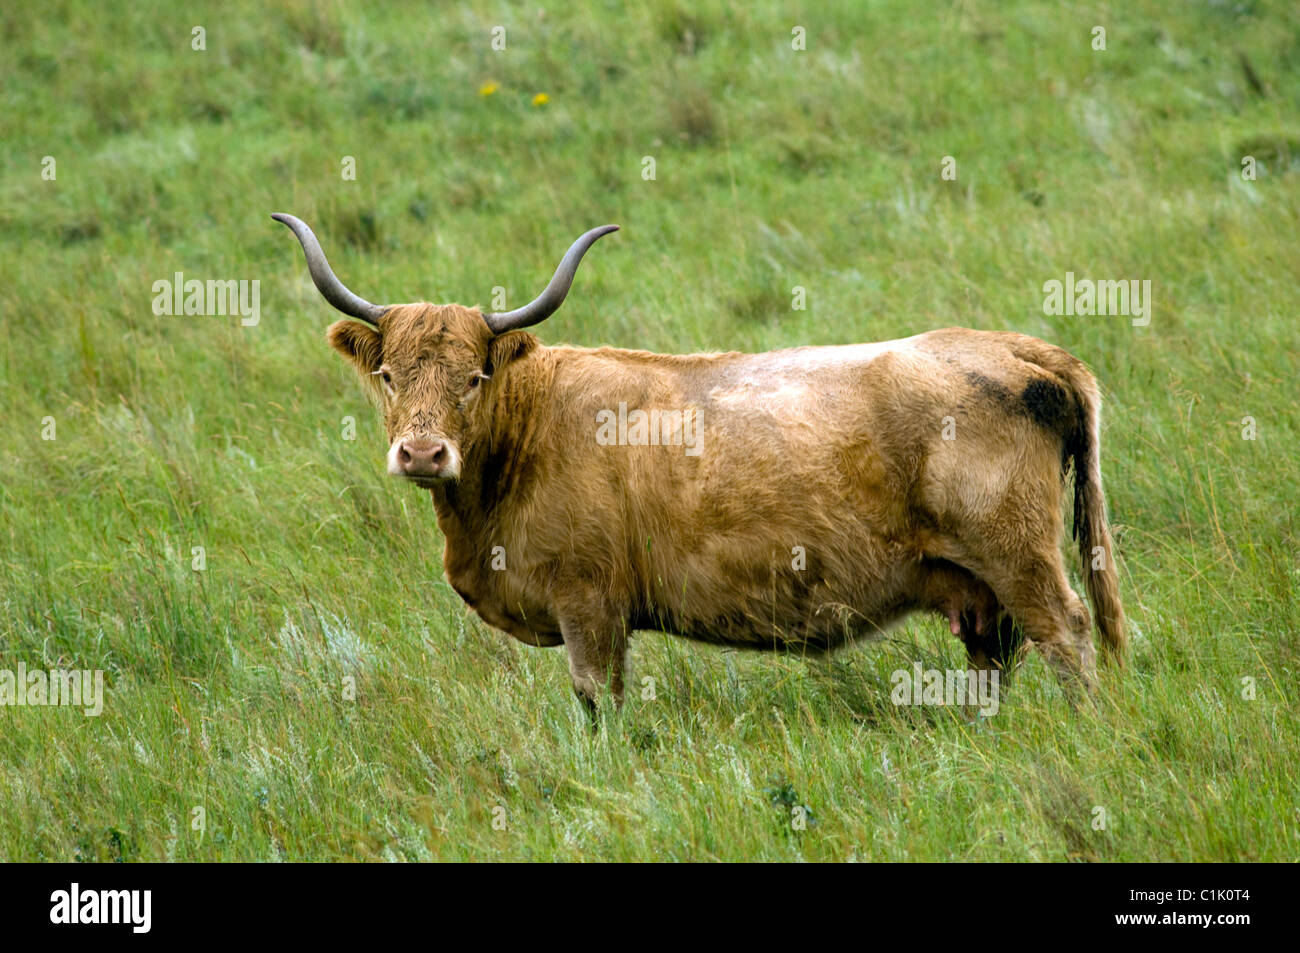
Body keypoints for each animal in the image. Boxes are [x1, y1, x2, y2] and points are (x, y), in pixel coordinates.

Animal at [273, 212, 1126, 712]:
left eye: (474, 377)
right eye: (389, 374)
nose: (422, 451)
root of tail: (1015, 346)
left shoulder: (588, 603)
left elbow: (598, 701)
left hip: (1017, 555)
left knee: (1069, 632)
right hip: (977, 587)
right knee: (995, 660)